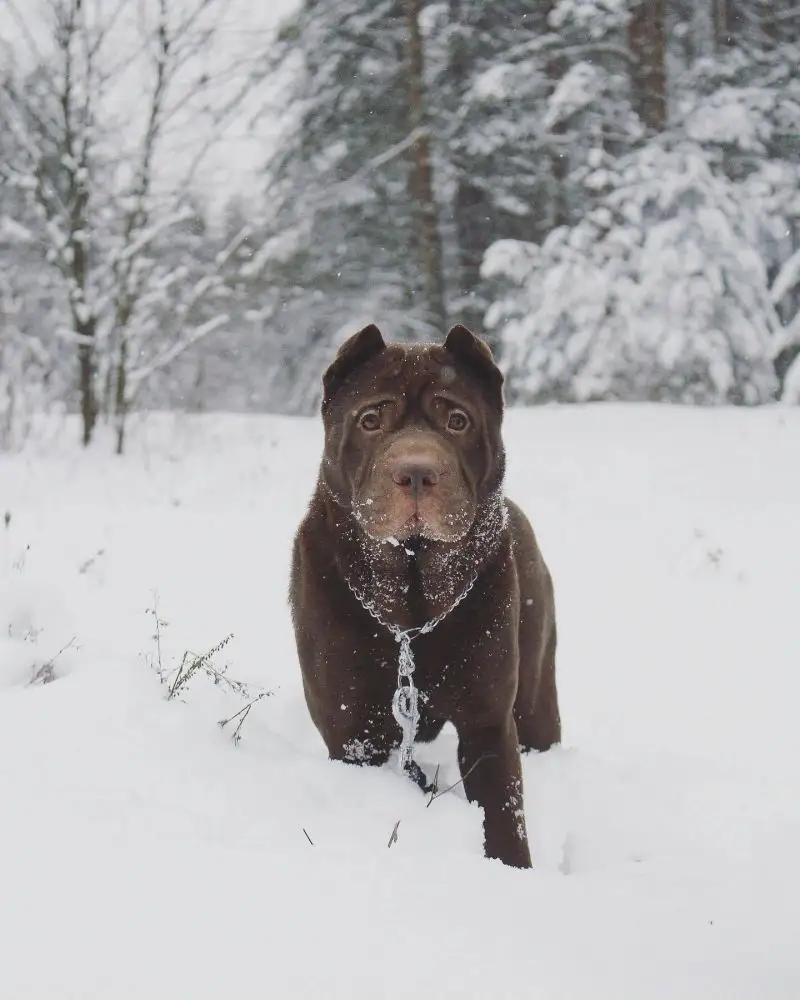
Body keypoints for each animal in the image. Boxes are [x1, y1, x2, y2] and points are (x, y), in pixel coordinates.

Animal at [290, 322, 564, 868]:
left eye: (457, 420)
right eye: (371, 419)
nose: (417, 472)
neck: (412, 609)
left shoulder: (487, 720)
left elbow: (502, 806)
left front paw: (512, 869)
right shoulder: (352, 729)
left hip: (536, 696)